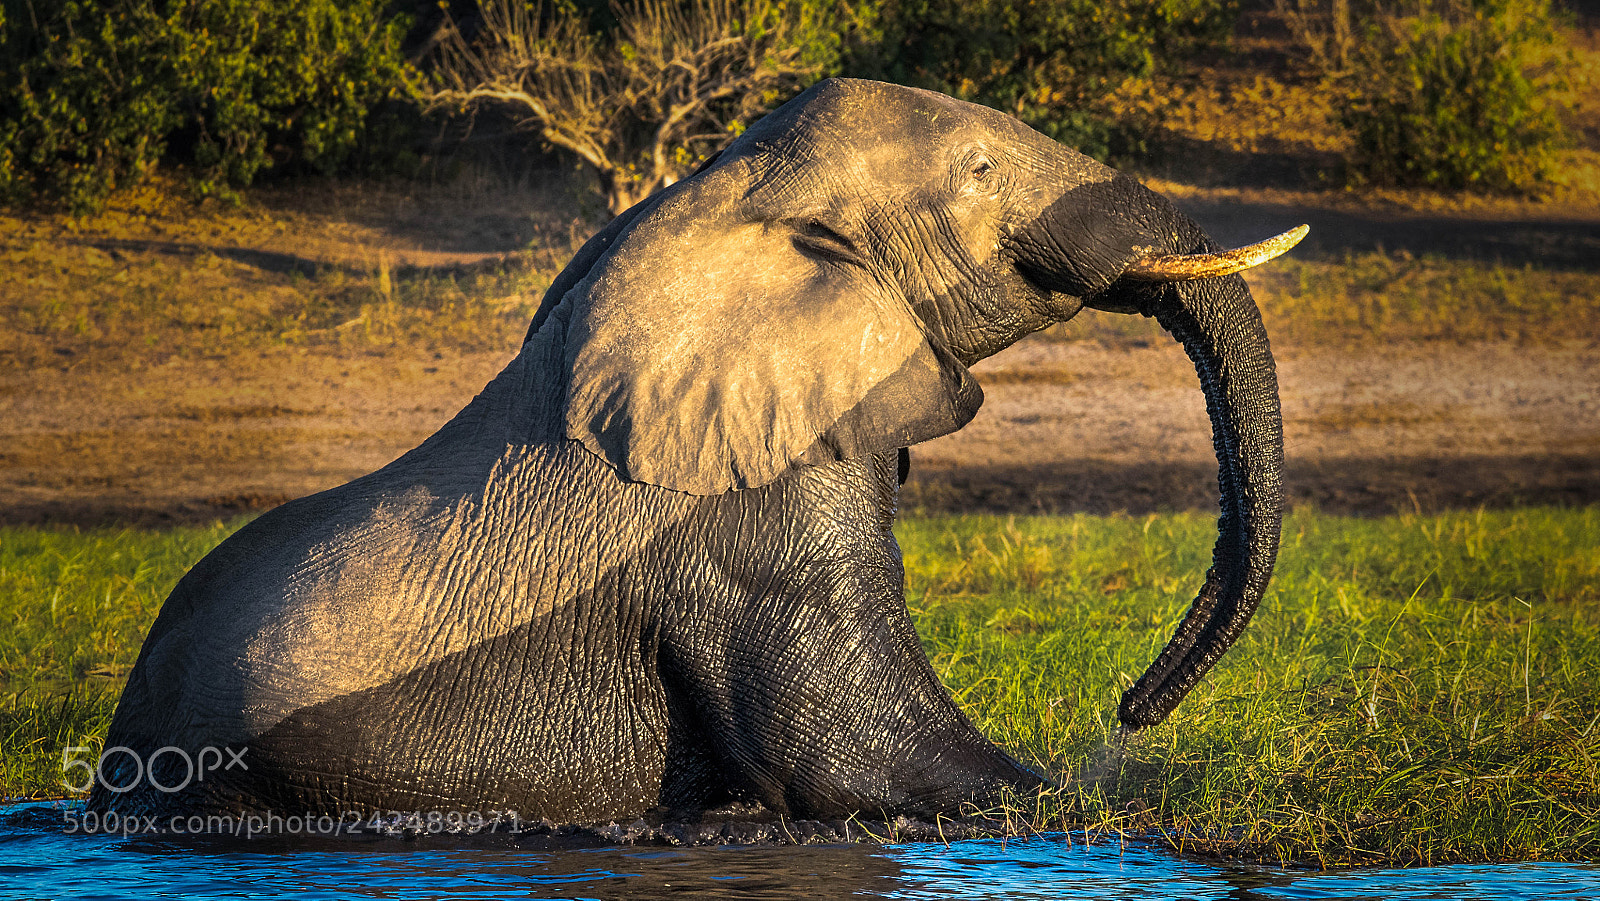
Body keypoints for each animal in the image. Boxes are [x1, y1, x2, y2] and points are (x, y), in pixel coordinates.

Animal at [91, 78, 1298, 827]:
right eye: (982, 170)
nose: (1132, 708)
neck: (731, 190)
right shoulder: (741, 519)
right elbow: (852, 755)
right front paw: (1101, 807)